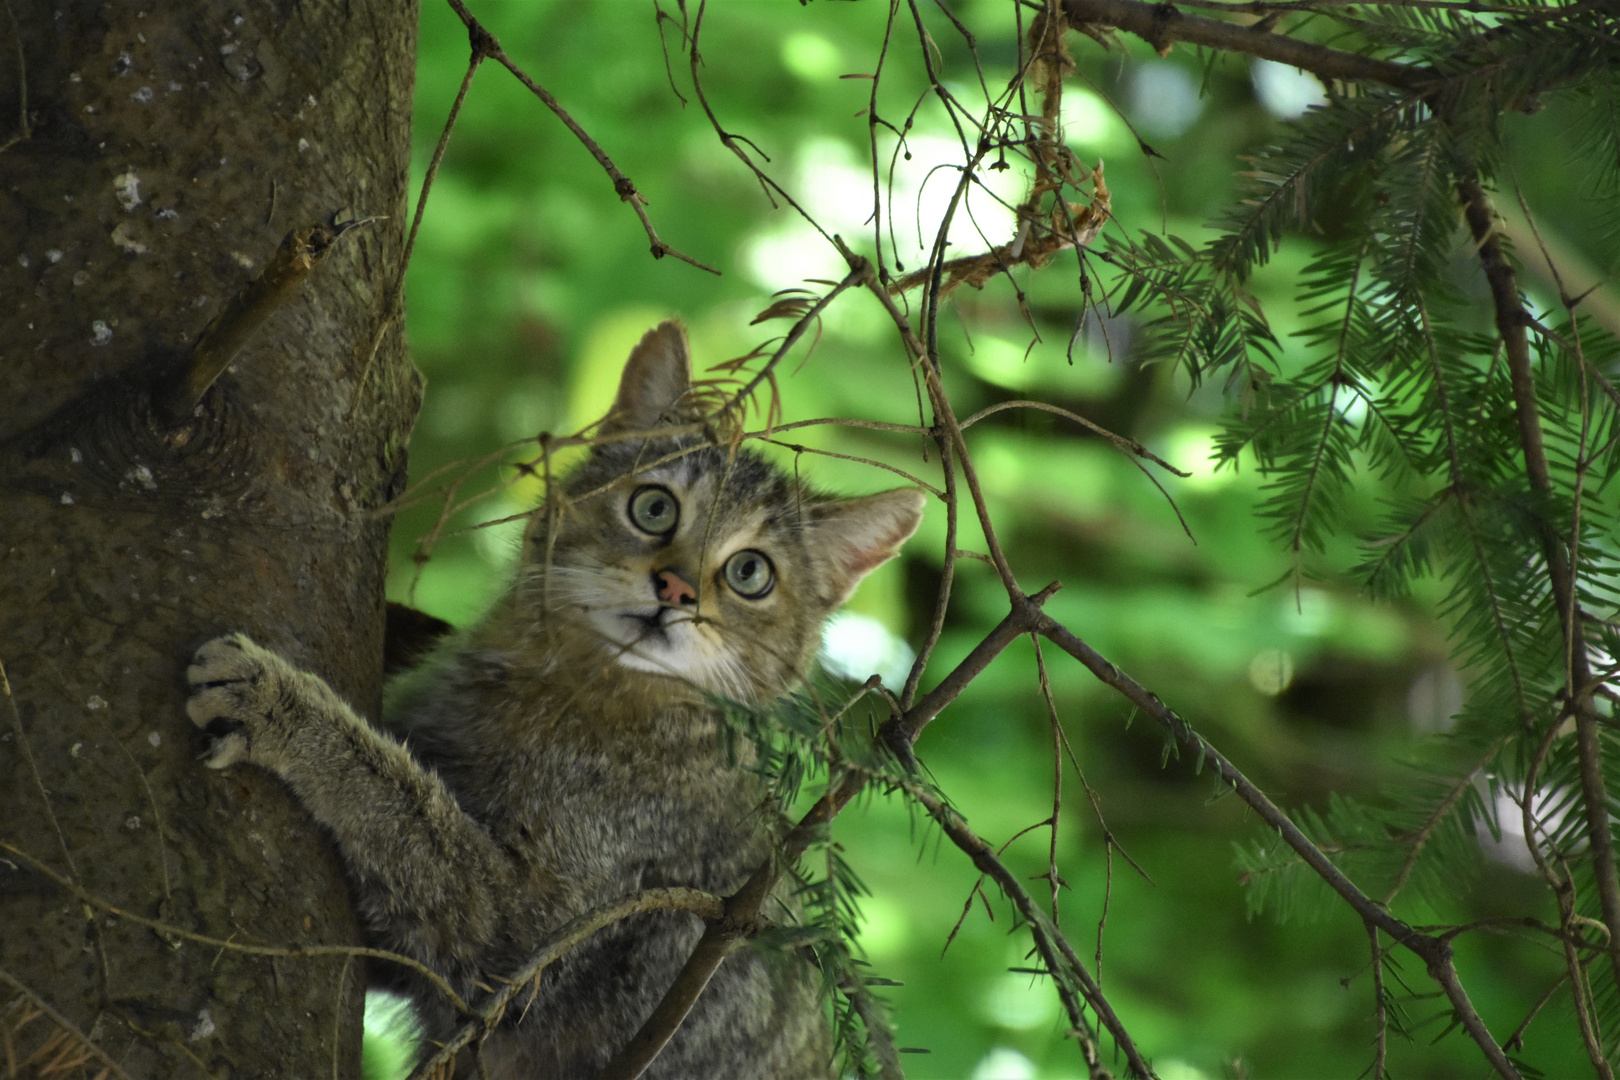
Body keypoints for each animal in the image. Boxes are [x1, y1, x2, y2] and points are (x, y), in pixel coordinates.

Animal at [182, 323, 926, 1080]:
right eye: (654, 507)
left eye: (750, 573)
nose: (676, 589)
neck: (564, 687)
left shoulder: (519, 942)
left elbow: (400, 802)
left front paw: (284, 708)